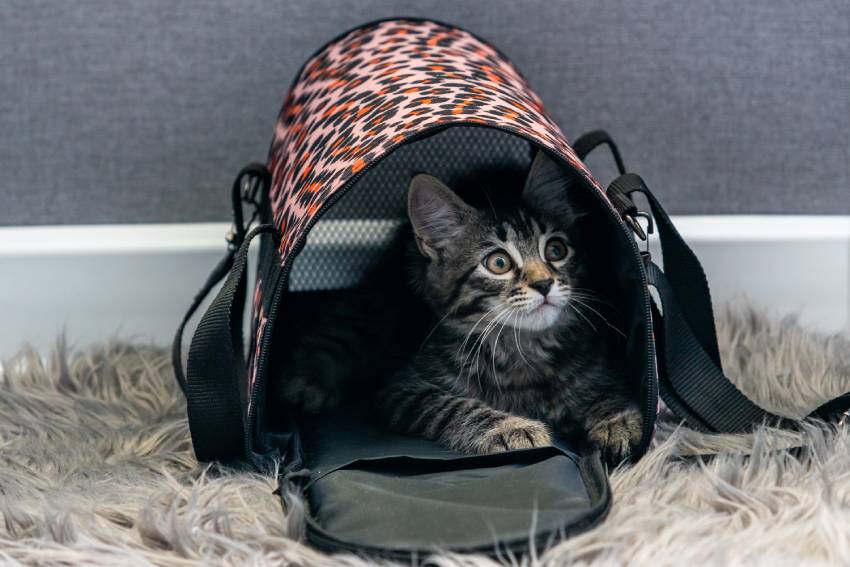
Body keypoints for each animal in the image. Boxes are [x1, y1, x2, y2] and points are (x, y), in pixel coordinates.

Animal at [374, 152, 640, 466]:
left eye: (556, 250)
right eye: (498, 263)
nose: (544, 283)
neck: (522, 346)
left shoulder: (599, 363)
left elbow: (606, 389)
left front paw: (617, 420)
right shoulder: (402, 389)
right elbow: (453, 405)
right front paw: (511, 428)